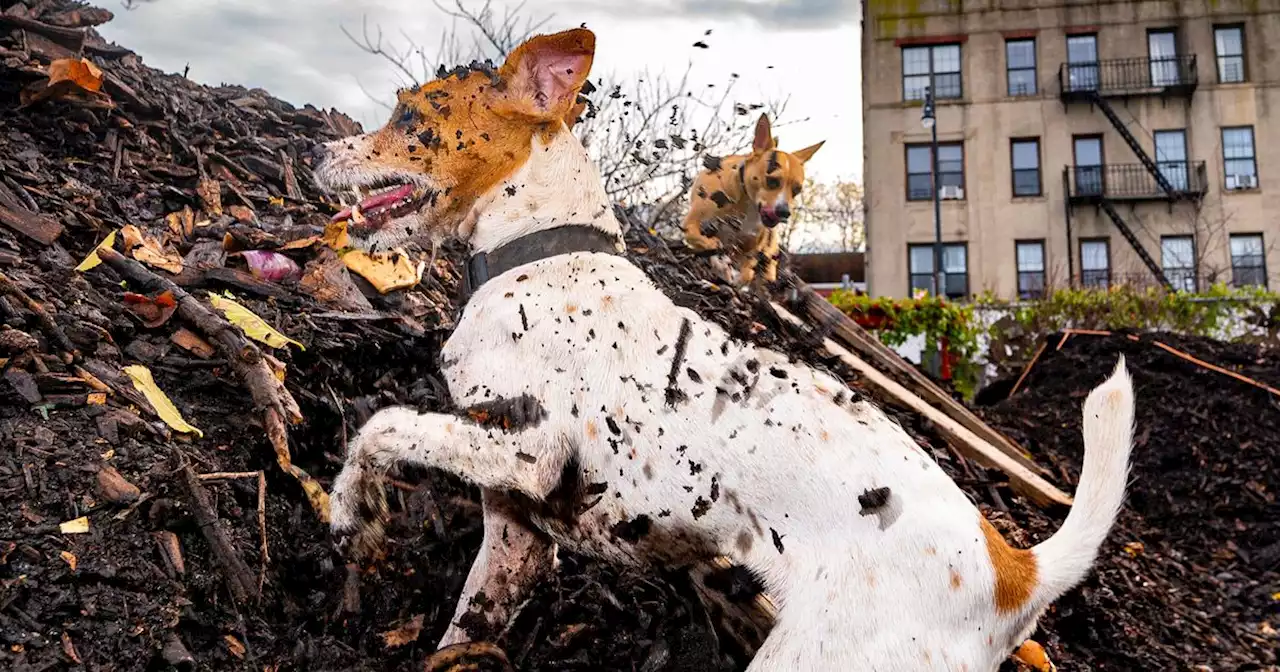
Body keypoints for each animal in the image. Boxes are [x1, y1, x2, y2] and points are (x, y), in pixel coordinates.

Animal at [686, 112, 824, 282]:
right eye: (772, 181)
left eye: (797, 190)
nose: (784, 212)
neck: (746, 203)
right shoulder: (692, 224)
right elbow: (704, 241)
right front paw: (719, 261)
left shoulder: (750, 249)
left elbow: (746, 273)